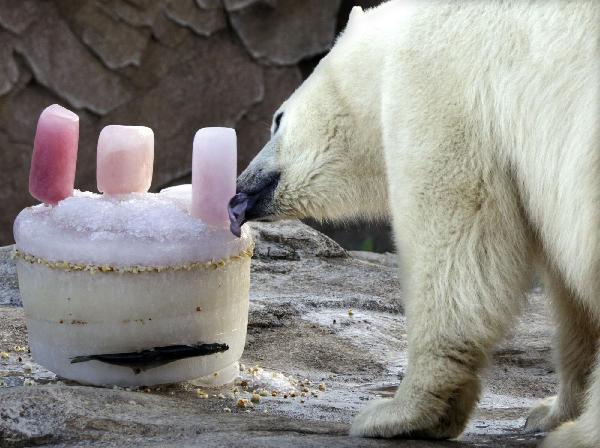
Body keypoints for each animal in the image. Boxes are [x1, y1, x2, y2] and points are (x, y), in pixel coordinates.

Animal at [229, 1, 600, 446]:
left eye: (277, 119)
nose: (241, 188)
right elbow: (570, 297)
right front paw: (550, 411)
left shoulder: (441, 83)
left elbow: (457, 239)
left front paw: (399, 413)